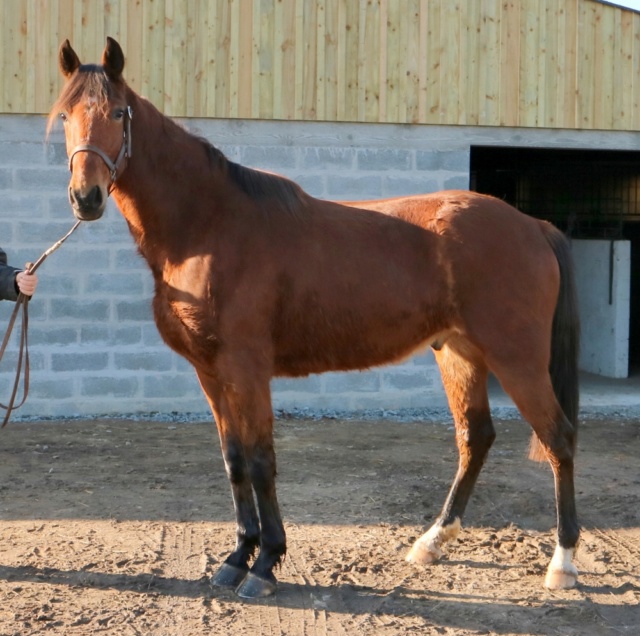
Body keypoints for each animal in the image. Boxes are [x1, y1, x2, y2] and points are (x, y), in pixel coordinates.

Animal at [48, 38, 580, 596]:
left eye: (118, 112)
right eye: (65, 116)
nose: (86, 198)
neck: (207, 226)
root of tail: (532, 225)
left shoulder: (247, 370)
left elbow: (261, 462)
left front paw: (264, 565)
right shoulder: (210, 374)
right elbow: (234, 461)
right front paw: (236, 558)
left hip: (517, 359)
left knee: (558, 439)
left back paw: (562, 563)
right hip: (460, 354)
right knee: (475, 439)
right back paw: (432, 542)